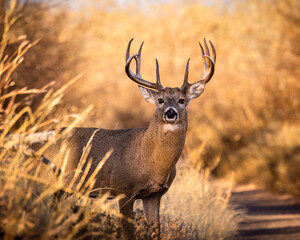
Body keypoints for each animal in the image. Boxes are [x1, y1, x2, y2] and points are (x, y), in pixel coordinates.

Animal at [32, 38, 216, 239]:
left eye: (182, 100)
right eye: (160, 100)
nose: (170, 113)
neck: (151, 159)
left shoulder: (154, 195)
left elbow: (155, 232)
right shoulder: (123, 190)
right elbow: (129, 232)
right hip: (46, 180)